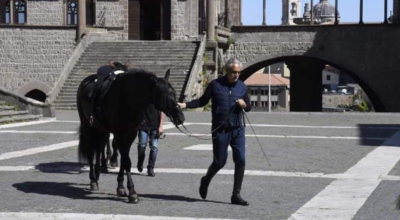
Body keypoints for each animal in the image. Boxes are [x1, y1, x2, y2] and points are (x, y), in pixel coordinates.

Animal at [77, 68, 186, 204]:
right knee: (91, 151)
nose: (180, 118)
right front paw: (132, 193)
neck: (127, 100)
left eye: (174, 93)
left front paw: (121, 188)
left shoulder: (130, 134)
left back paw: (97, 174)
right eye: (163, 95)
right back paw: (93, 180)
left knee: (99, 147)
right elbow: (126, 161)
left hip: (100, 128)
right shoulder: (119, 134)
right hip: (87, 125)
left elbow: (124, 161)